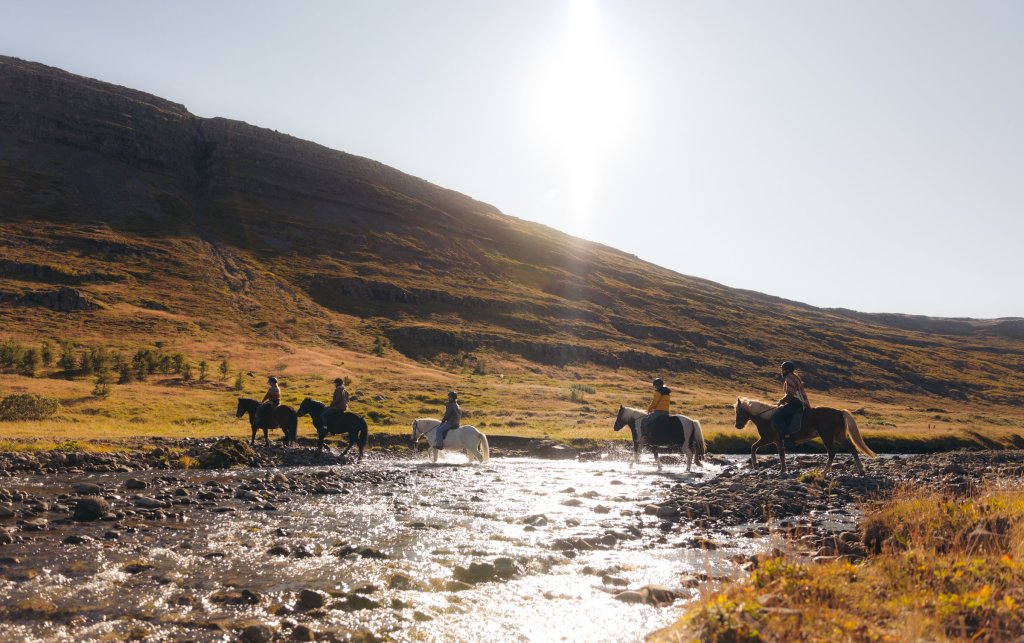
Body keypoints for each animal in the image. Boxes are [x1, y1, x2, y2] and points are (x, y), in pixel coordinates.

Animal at [733, 395, 876, 475]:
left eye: (738, 411)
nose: (737, 426)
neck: (766, 417)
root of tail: (839, 412)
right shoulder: (778, 440)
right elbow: (781, 454)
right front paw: (783, 470)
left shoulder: (767, 438)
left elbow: (753, 447)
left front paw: (755, 465)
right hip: (838, 436)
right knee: (851, 448)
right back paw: (861, 470)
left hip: (827, 436)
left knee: (832, 452)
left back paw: (824, 472)